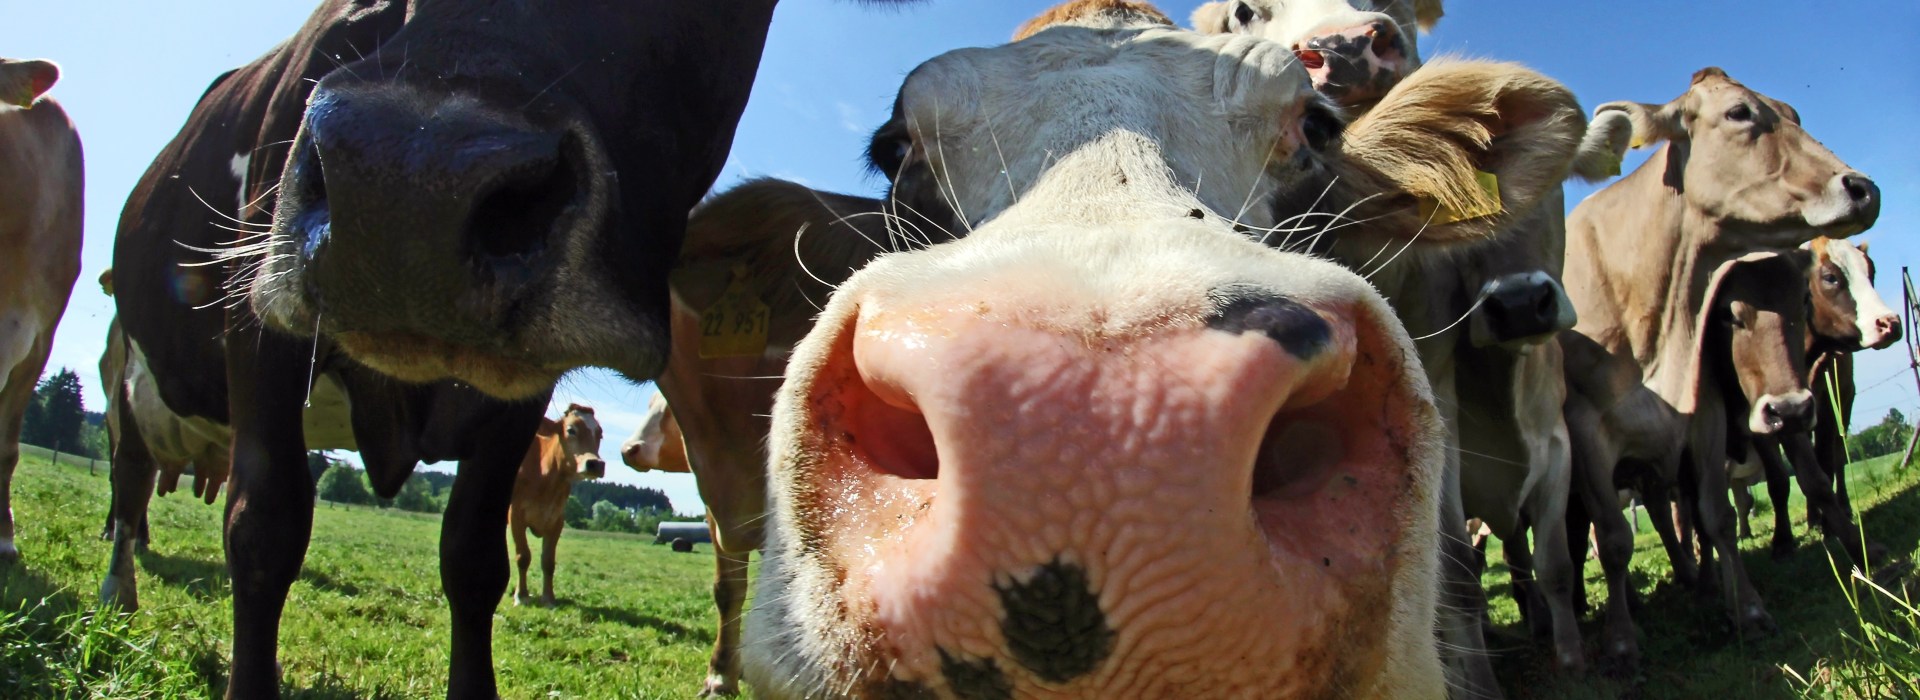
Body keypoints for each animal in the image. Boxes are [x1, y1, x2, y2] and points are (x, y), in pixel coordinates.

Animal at [508, 404, 606, 608]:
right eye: (571, 430)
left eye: (599, 434)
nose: (596, 463)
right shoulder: (516, 516)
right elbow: (523, 556)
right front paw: (521, 595)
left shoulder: (556, 520)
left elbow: (548, 561)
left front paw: (548, 597)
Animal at [1561, 67, 1881, 665]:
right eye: (1739, 113)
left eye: (1795, 113)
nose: (1862, 188)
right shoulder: (1585, 431)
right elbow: (1613, 540)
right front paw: (1621, 641)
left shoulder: (1704, 414)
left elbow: (1719, 517)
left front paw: (1748, 609)